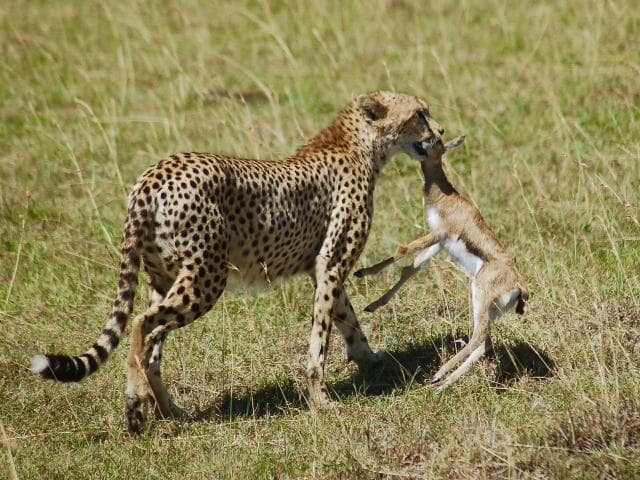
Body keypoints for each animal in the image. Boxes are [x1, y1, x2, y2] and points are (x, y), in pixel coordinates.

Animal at [31, 92, 444, 434]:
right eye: (419, 113)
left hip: (164, 277)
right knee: (140, 326)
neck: (359, 143)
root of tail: (153, 175)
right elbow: (321, 338)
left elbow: (347, 317)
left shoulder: (321, 268)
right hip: (205, 277)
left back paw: (168, 411)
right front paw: (322, 400)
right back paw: (135, 406)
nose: (440, 131)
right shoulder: (330, 263)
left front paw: (368, 358)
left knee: (153, 344)